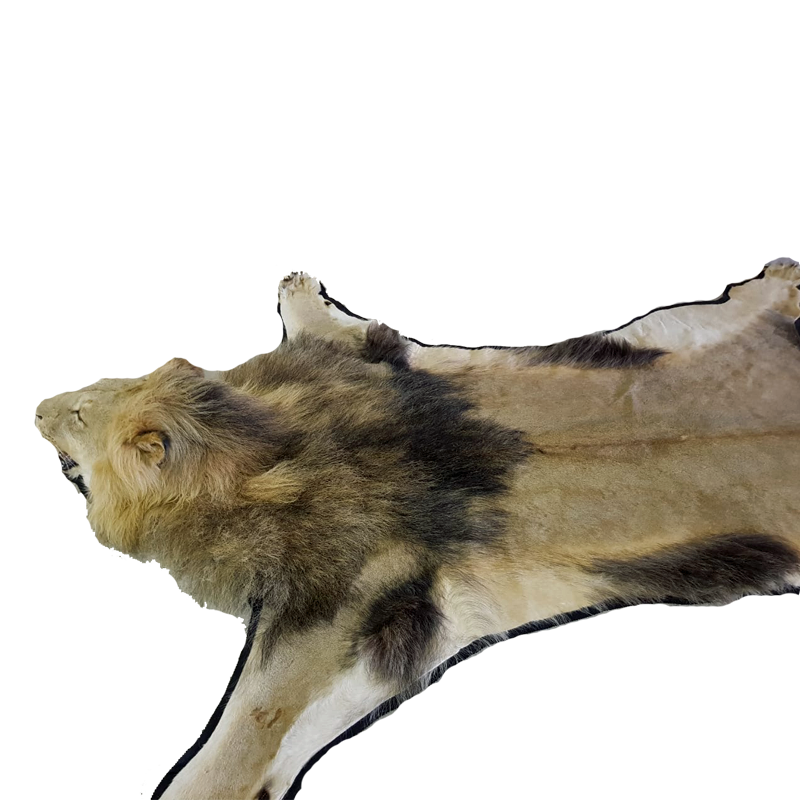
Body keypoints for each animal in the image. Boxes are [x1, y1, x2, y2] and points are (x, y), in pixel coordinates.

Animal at [34, 264, 800, 800]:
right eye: (86, 396)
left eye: (78, 414)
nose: (38, 408)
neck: (258, 452)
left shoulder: (342, 605)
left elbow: (246, 732)